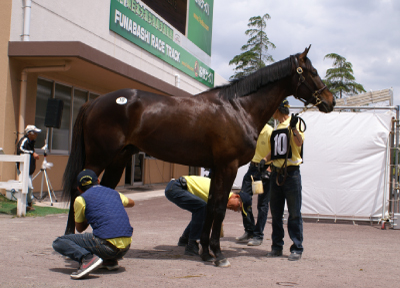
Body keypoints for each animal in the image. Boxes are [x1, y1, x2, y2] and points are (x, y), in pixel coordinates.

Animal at [61, 45, 334, 268]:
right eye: (312, 71)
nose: (330, 100)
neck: (238, 108)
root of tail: (94, 102)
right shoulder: (227, 167)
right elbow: (219, 208)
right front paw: (218, 254)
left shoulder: (216, 169)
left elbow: (212, 205)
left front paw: (205, 252)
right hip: (98, 158)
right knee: (78, 191)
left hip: (118, 159)